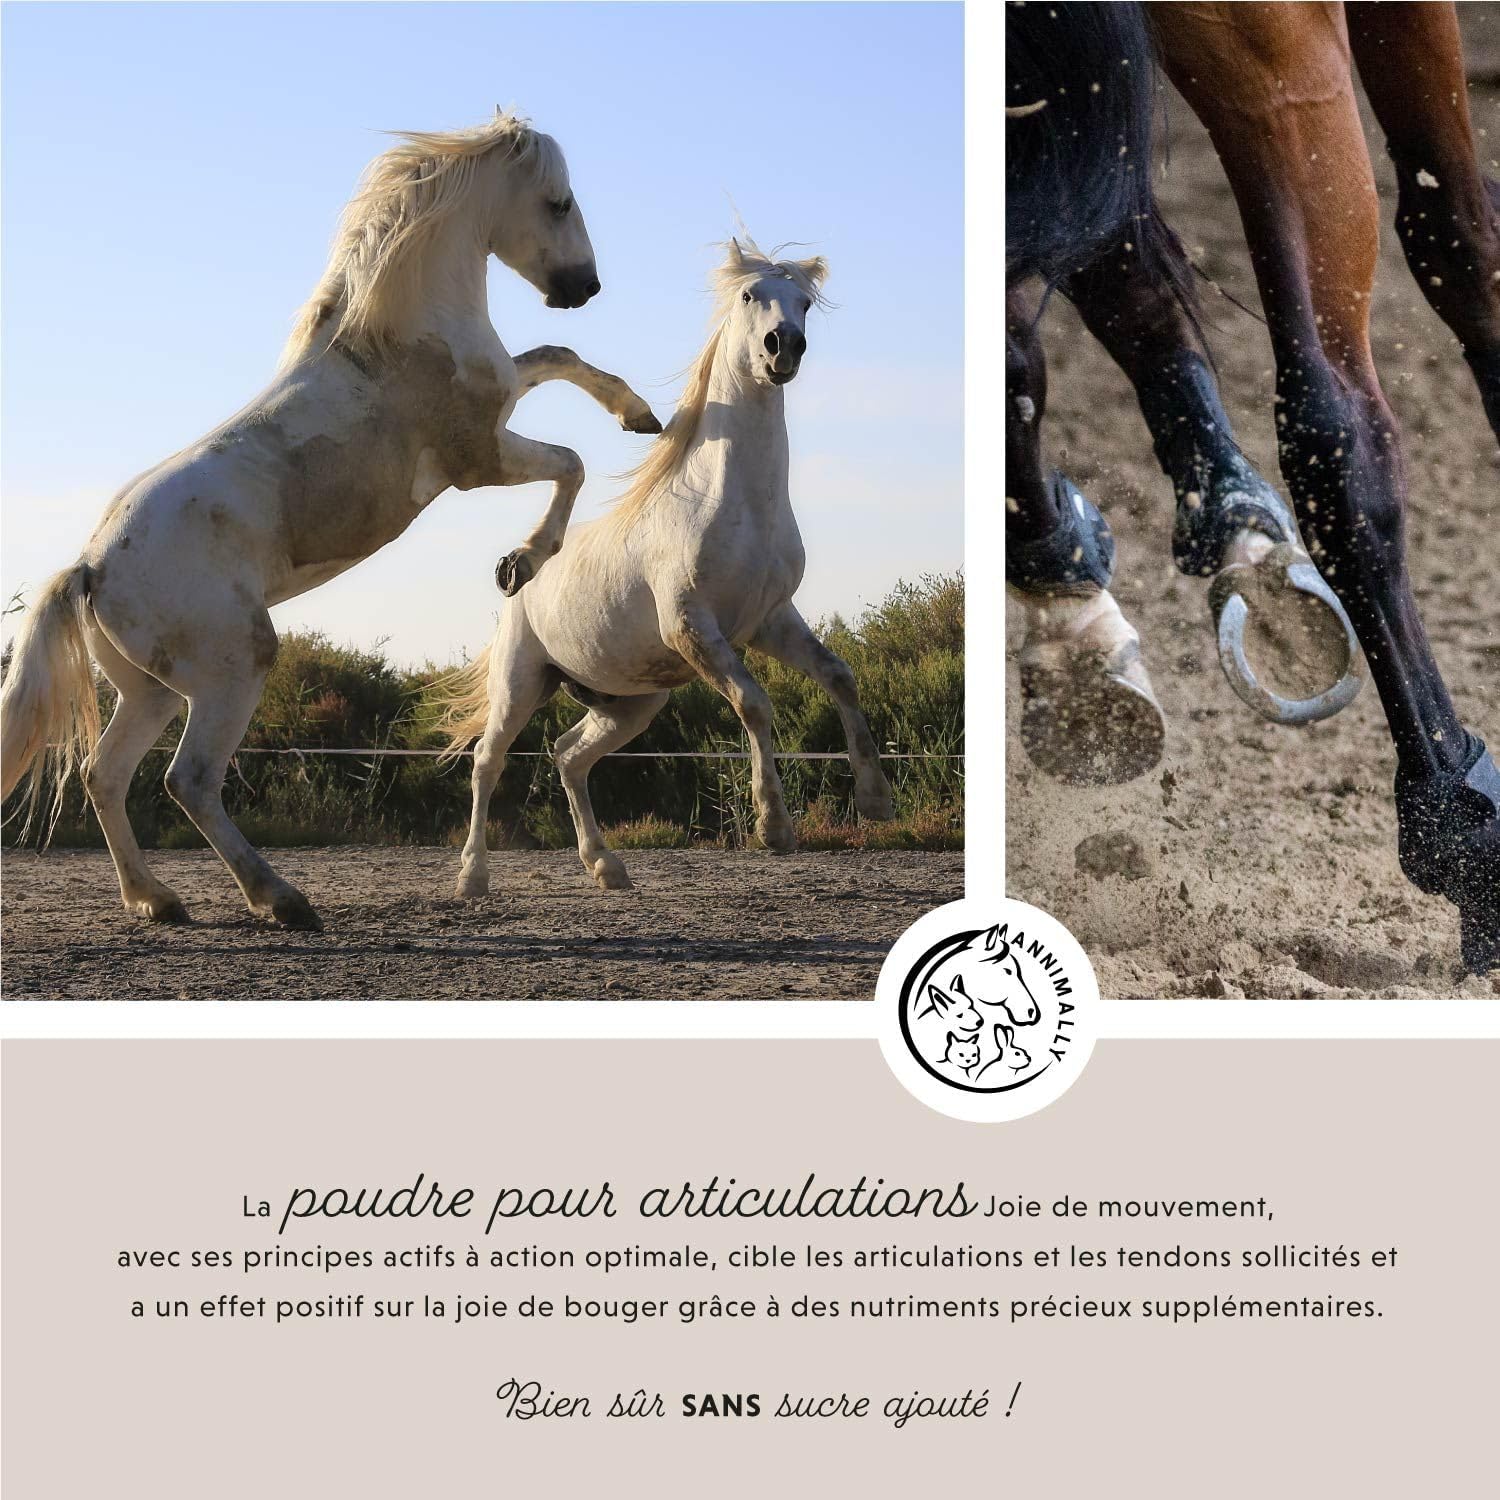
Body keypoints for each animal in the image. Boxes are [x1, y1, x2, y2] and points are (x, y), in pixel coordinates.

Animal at [0, 110, 661, 932]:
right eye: (559, 202)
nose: (583, 286)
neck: (397, 335)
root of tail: (90, 568)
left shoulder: (501, 405)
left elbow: (559, 358)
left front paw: (640, 415)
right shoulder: (478, 458)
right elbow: (569, 461)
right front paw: (523, 561)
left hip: (151, 689)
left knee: (105, 775)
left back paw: (158, 901)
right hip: (231, 667)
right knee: (189, 781)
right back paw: (281, 900)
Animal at [437, 240, 897, 898]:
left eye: (805, 303)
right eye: (750, 295)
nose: (783, 348)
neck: (737, 504)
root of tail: (519, 583)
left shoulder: (770, 620)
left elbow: (840, 676)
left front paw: (876, 800)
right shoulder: (692, 626)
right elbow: (755, 702)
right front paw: (774, 826)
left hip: (630, 702)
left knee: (568, 755)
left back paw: (606, 866)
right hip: (520, 681)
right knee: (487, 761)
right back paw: (473, 876)